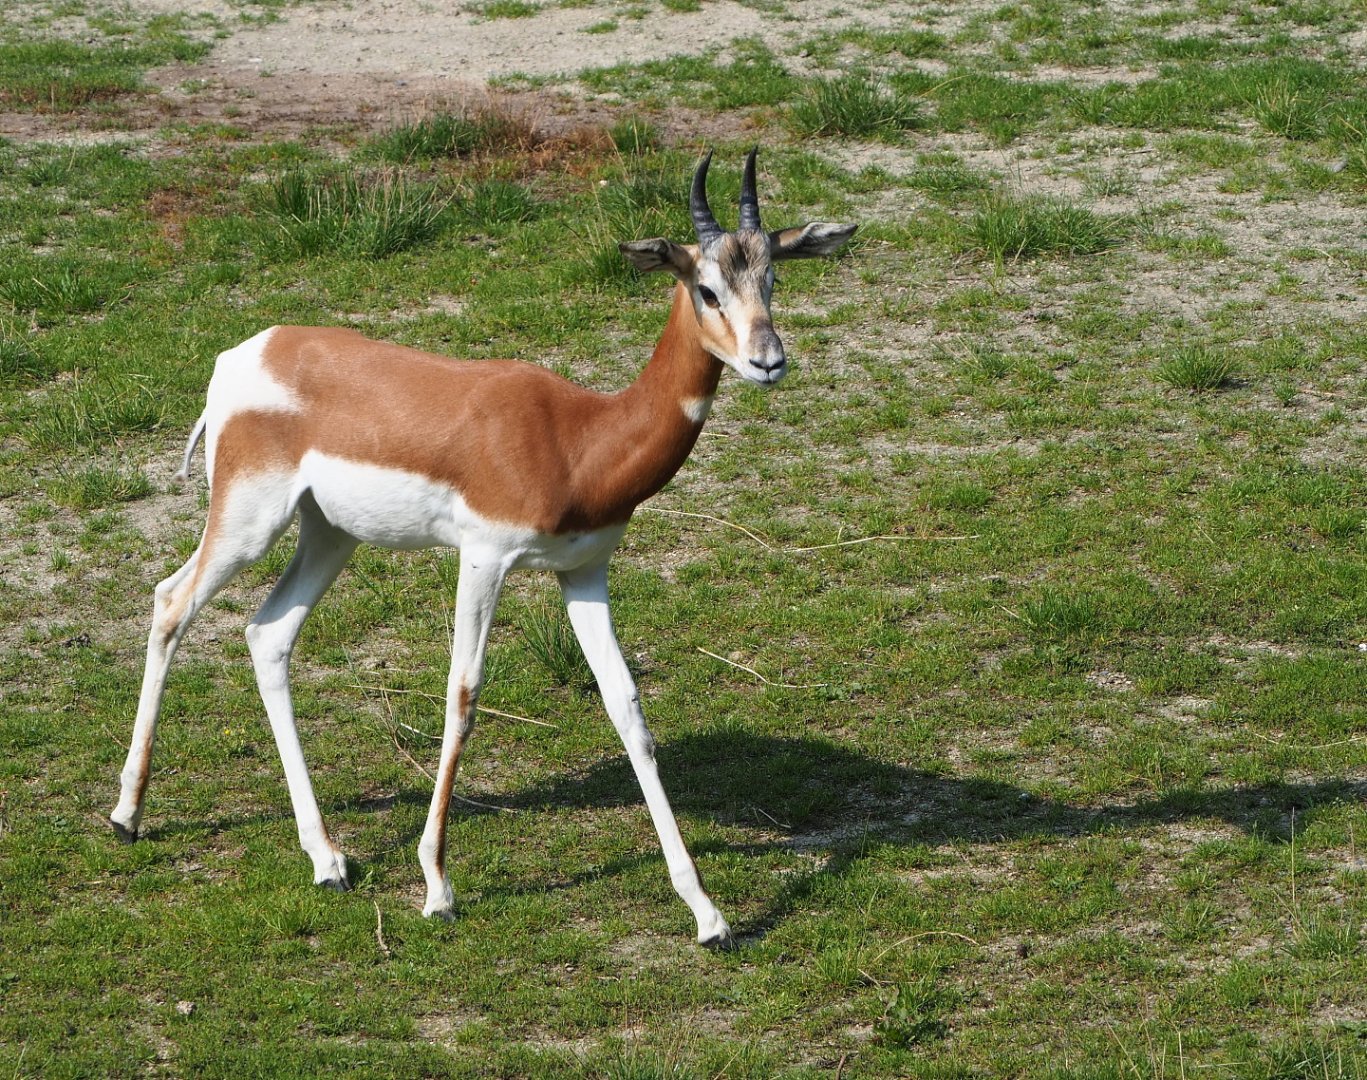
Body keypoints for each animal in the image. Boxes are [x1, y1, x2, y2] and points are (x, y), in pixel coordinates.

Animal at [110, 150, 856, 947]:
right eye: (706, 287)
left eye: (772, 282)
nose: (768, 360)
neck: (578, 437)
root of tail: (244, 353)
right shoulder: (485, 558)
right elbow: (462, 695)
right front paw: (437, 886)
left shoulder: (585, 571)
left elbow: (627, 707)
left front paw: (707, 912)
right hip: (250, 522)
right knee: (171, 600)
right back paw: (127, 816)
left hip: (329, 534)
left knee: (267, 633)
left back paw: (327, 858)